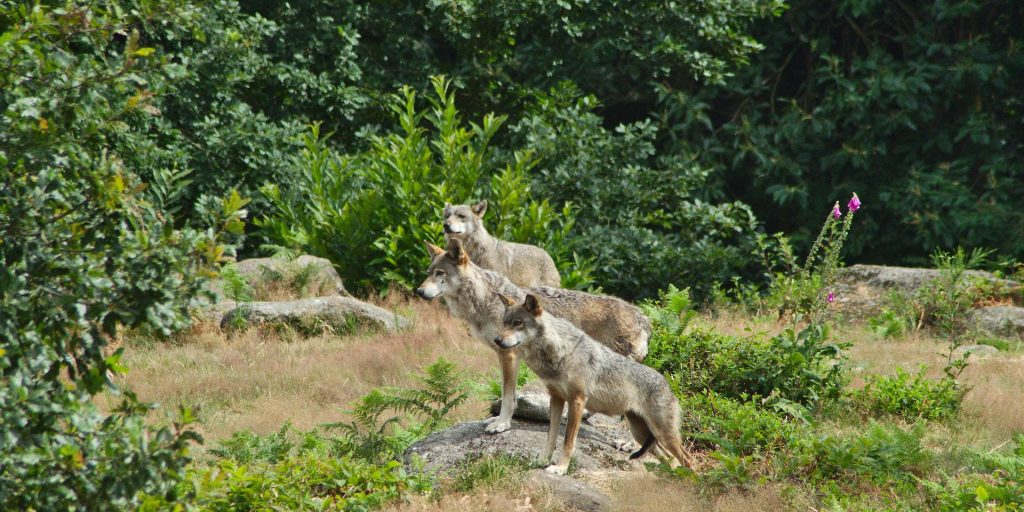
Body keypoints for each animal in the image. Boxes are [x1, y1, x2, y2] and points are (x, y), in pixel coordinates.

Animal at [491, 294, 692, 477]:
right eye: (504, 323)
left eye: (518, 323)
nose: (497, 340)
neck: (560, 351)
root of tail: (670, 387)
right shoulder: (556, 399)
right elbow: (551, 437)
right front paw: (541, 460)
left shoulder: (577, 401)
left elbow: (568, 442)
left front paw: (560, 468)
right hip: (642, 434)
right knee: (667, 459)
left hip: (663, 435)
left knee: (688, 460)